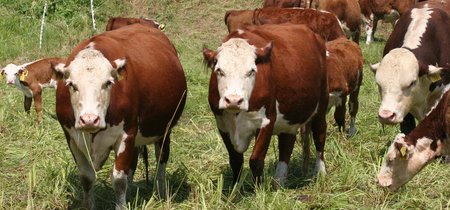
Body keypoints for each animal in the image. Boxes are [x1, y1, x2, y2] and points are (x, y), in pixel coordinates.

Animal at [51, 23, 187, 209]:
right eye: (71, 84)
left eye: (108, 83)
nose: (89, 120)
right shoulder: (71, 137)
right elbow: (86, 178)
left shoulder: (126, 134)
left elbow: (119, 179)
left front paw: (121, 205)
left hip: (164, 128)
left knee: (161, 158)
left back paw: (160, 192)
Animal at [203, 23, 326, 186]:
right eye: (219, 70)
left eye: (252, 71)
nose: (234, 100)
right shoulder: (222, 125)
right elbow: (235, 161)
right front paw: (235, 189)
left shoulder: (267, 121)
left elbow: (256, 160)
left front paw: (258, 189)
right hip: (291, 113)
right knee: (286, 143)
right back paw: (279, 181)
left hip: (321, 105)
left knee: (320, 135)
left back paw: (321, 172)